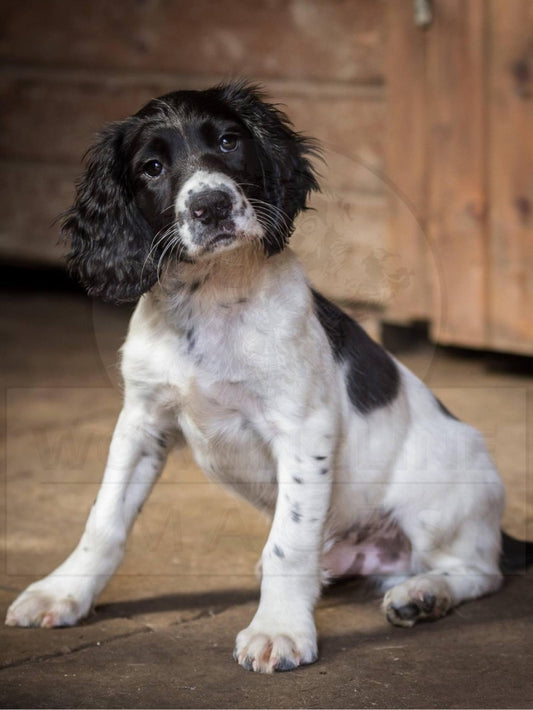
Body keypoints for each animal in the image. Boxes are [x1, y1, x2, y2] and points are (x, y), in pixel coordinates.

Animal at [5, 82, 528, 672]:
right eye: (152, 167)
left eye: (229, 141)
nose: (211, 205)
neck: (211, 298)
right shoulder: (142, 421)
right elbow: (104, 519)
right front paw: (62, 593)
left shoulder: (303, 429)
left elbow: (288, 543)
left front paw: (278, 628)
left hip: (439, 507)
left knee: (479, 571)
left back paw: (423, 594)